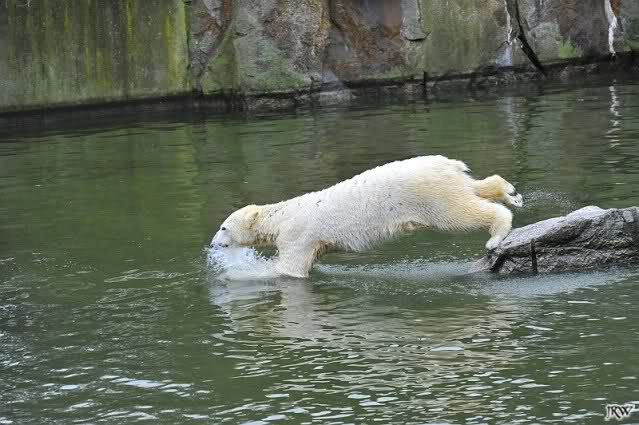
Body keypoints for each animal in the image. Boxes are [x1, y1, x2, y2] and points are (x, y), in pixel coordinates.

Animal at [210, 155, 523, 278]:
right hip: (446, 182)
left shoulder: (297, 235)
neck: (281, 216)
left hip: (429, 194)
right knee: (473, 189)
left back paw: (495, 237)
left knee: (459, 213)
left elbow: (290, 269)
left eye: (223, 228)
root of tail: (448, 163)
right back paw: (511, 193)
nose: (212, 244)